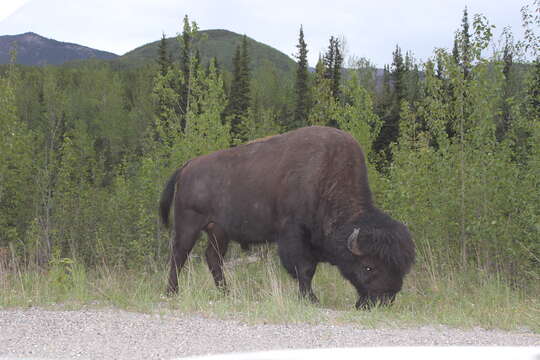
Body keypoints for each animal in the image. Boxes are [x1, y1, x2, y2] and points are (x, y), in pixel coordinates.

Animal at [158, 125, 416, 308]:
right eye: (369, 267)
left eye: (401, 268)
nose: (385, 300)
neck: (325, 179)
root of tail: (187, 166)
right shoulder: (293, 235)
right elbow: (305, 269)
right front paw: (311, 299)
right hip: (188, 225)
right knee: (179, 255)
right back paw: (171, 292)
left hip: (219, 231)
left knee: (213, 259)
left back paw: (226, 293)